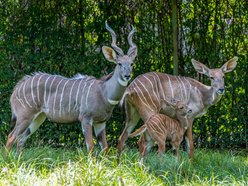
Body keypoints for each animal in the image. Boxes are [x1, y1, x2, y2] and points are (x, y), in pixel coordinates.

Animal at [6, 22, 138, 153]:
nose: (127, 75)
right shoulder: (85, 119)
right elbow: (90, 147)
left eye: (131, 64)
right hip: (25, 117)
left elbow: (105, 147)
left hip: (38, 118)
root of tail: (16, 90)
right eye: (119, 63)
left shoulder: (101, 122)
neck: (104, 93)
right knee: (11, 137)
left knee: (20, 140)